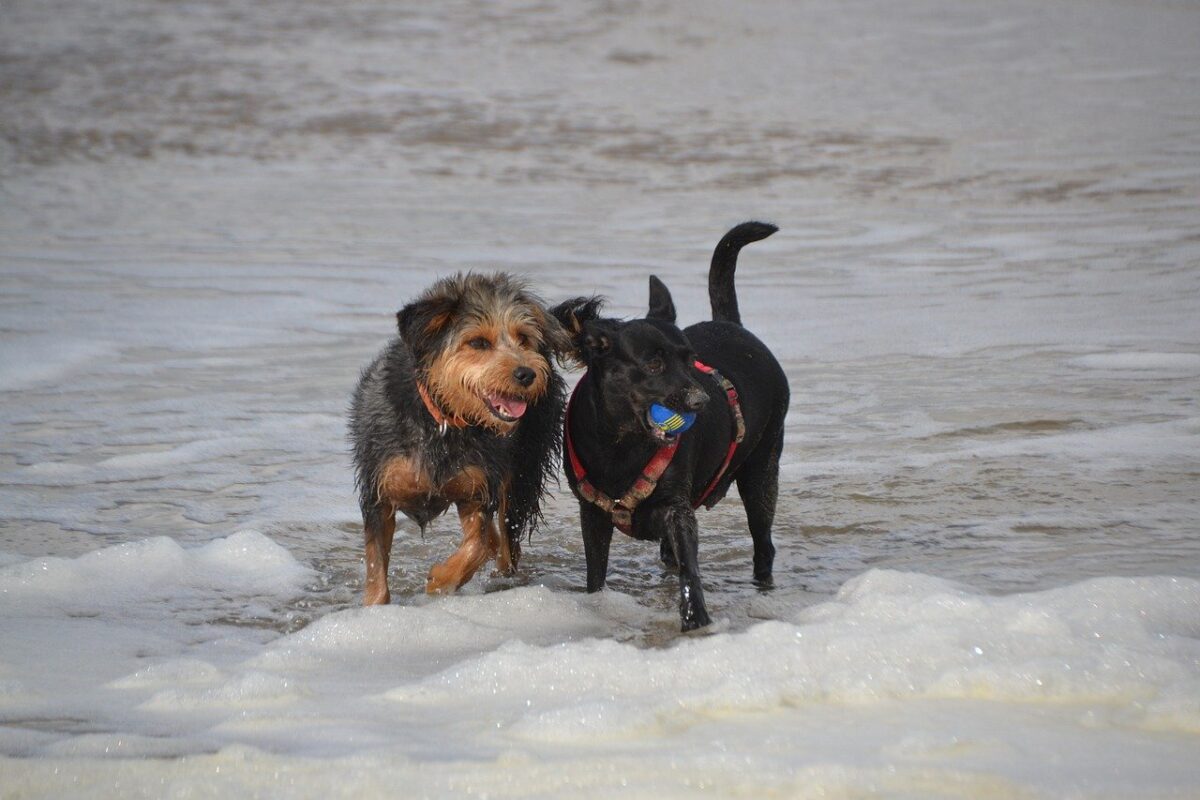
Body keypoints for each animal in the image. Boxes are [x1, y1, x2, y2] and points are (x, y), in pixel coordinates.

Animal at [350, 272, 568, 604]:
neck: (443, 420)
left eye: (523, 338)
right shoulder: (379, 491)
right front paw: (374, 607)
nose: (527, 373)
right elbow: (376, 565)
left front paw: (441, 580)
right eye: (478, 342)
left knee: (506, 542)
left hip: (522, 473)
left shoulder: (478, 489)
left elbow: (478, 545)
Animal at [552, 221, 787, 628]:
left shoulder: (678, 510)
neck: (622, 445)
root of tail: (730, 324)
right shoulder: (591, 513)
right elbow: (596, 573)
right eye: (653, 363)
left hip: (763, 469)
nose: (700, 401)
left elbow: (690, 567)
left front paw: (697, 618)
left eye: (690, 358)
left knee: (764, 544)